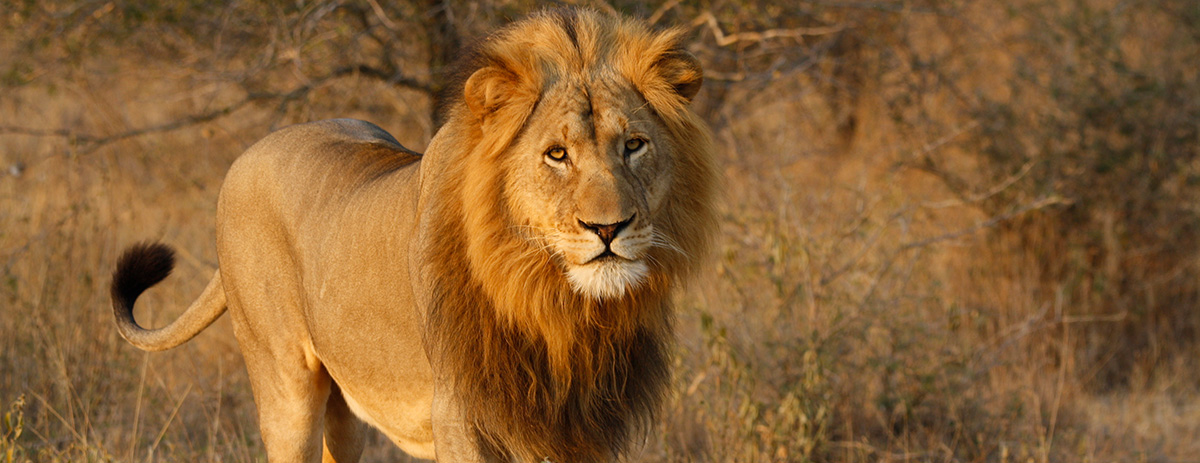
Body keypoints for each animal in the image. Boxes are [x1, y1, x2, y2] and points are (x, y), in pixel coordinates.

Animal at [110, 8, 717, 463]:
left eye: (633, 145)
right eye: (557, 154)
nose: (608, 228)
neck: (558, 305)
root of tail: (244, 157)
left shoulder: (580, 427)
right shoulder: (462, 421)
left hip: (345, 402)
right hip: (284, 386)